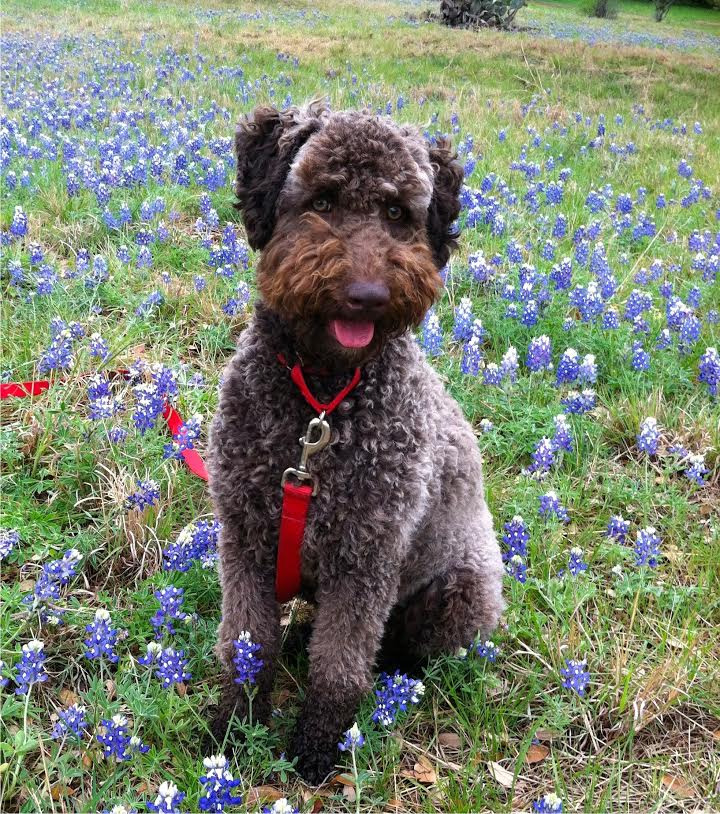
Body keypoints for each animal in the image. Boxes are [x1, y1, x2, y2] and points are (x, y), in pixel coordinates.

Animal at [205, 102, 504, 784]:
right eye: (322, 199)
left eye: (396, 212)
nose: (367, 295)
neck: (322, 400)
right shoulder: (247, 538)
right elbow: (247, 644)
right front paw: (235, 725)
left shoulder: (364, 557)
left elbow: (339, 666)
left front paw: (318, 746)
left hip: (459, 591)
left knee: (408, 649)